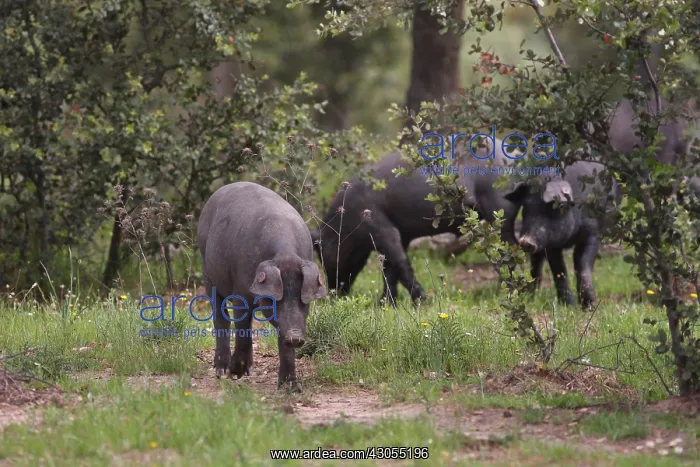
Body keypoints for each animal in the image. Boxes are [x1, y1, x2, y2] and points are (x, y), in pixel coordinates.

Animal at [197, 181, 327, 393]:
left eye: (302, 299)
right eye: (275, 299)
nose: (295, 337)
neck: (285, 255)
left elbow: (283, 343)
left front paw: (291, 388)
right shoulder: (240, 291)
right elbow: (242, 327)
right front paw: (235, 374)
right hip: (207, 272)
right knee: (220, 318)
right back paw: (222, 371)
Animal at [311, 137, 522, 307]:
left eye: (323, 252)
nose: (333, 294)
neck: (347, 219)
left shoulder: (383, 229)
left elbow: (400, 264)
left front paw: (421, 301)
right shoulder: (401, 235)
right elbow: (389, 269)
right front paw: (385, 304)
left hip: (499, 210)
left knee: (509, 251)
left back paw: (507, 292)